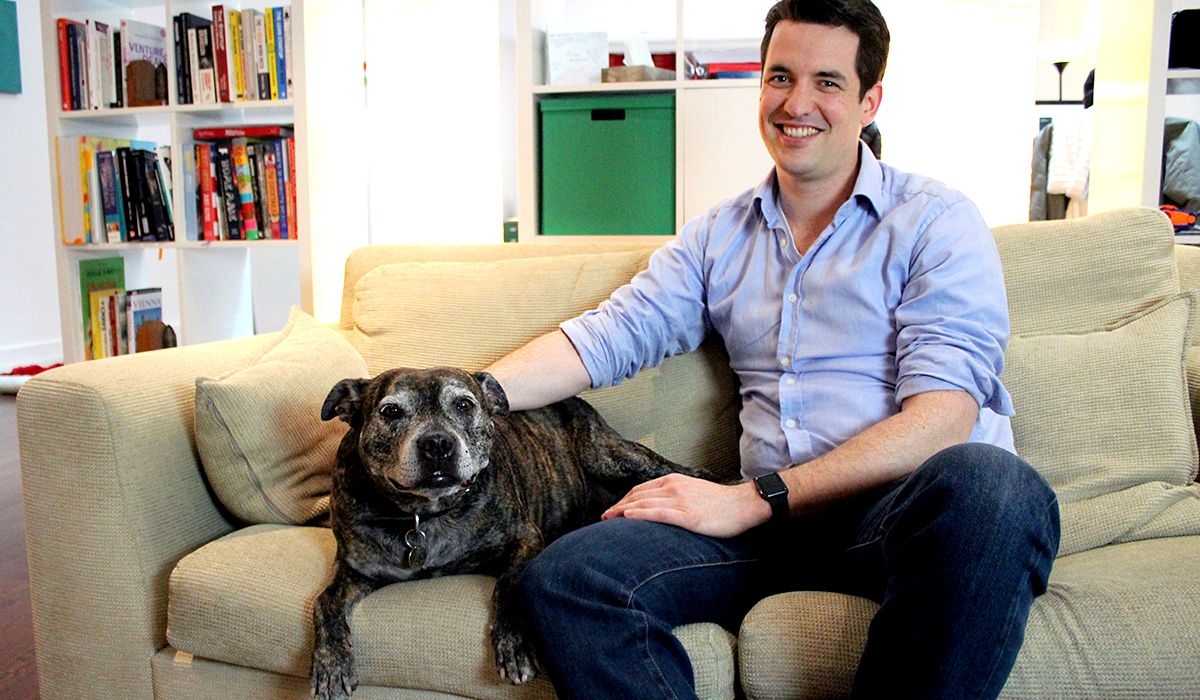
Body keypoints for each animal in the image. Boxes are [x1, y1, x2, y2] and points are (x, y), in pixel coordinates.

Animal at [312, 369, 700, 696]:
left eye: (464, 405)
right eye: (391, 411)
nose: (437, 443)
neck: (425, 514)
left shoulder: (524, 539)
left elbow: (509, 585)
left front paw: (513, 643)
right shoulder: (356, 569)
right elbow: (324, 601)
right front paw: (330, 664)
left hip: (610, 456)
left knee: (685, 471)